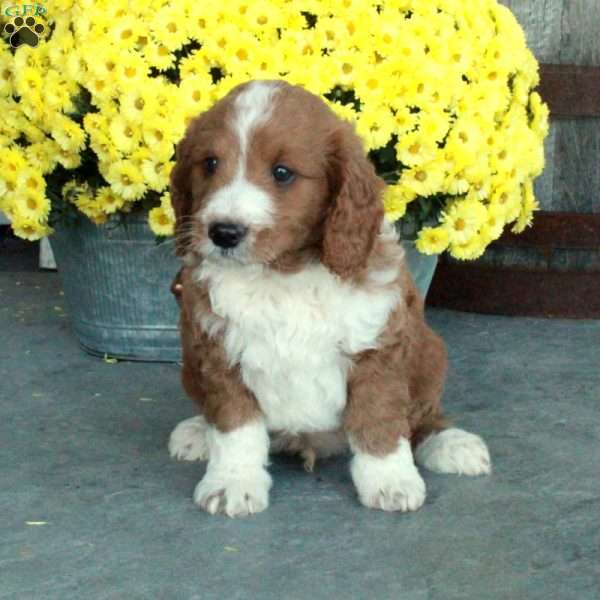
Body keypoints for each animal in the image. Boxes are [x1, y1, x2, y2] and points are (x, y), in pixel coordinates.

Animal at [166, 79, 490, 516]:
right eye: (210, 164)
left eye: (282, 173)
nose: (224, 232)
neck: (282, 273)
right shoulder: (217, 351)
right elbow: (235, 425)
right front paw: (232, 482)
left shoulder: (376, 348)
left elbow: (378, 419)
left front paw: (390, 482)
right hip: (189, 362)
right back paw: (199, 431)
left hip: (430, 351)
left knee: (422, 418)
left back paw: (451, 443)